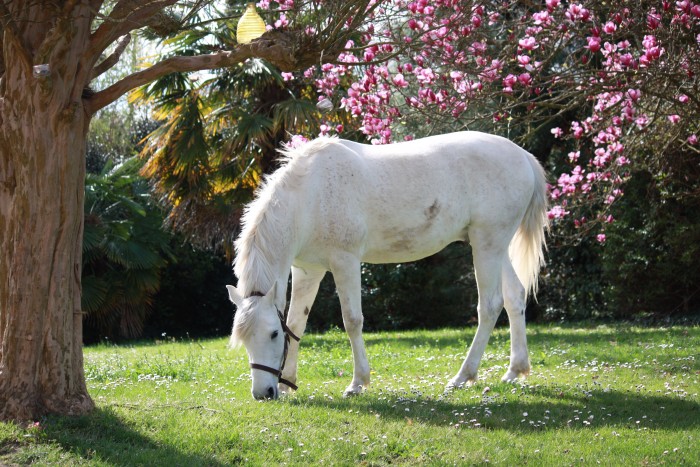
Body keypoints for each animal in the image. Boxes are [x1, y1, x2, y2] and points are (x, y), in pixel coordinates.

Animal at [226, 131, 549, 400]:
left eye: (272, 334)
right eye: (244, 340)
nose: (264, 393)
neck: (309, 196)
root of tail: (523, 156)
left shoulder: (345, 262)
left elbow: (352, 321)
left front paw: (358, 383)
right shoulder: (307, 270)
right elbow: (296, 323)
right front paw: (288, 382)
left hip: (486, 245)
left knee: (490, 306)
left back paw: (463, 376)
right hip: (496, 247)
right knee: (514, 297)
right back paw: (514, 370)